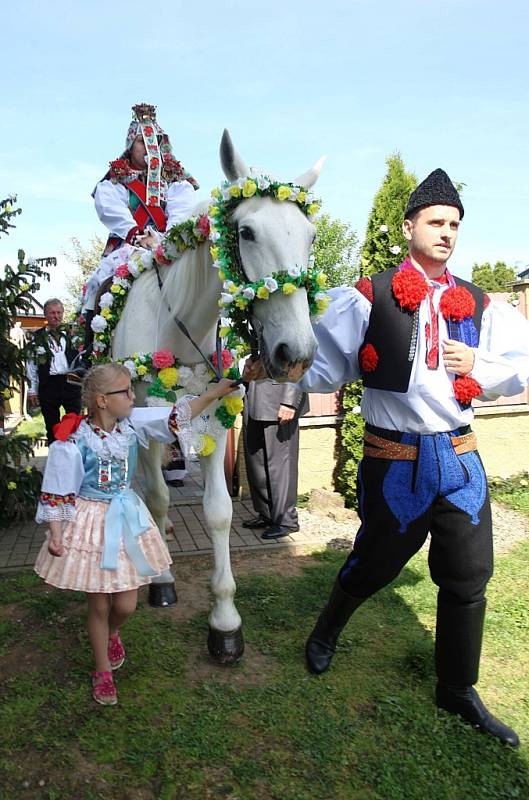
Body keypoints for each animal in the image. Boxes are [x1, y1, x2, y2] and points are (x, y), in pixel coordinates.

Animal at [111, 133, 320, 664]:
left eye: (310, 235)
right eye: (245, 232)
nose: (295, 354)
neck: (176, 326)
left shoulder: (212, 419)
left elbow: (220, 512)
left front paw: (225, 622)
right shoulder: (145, 424)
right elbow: (160, 496)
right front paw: (163, 580)